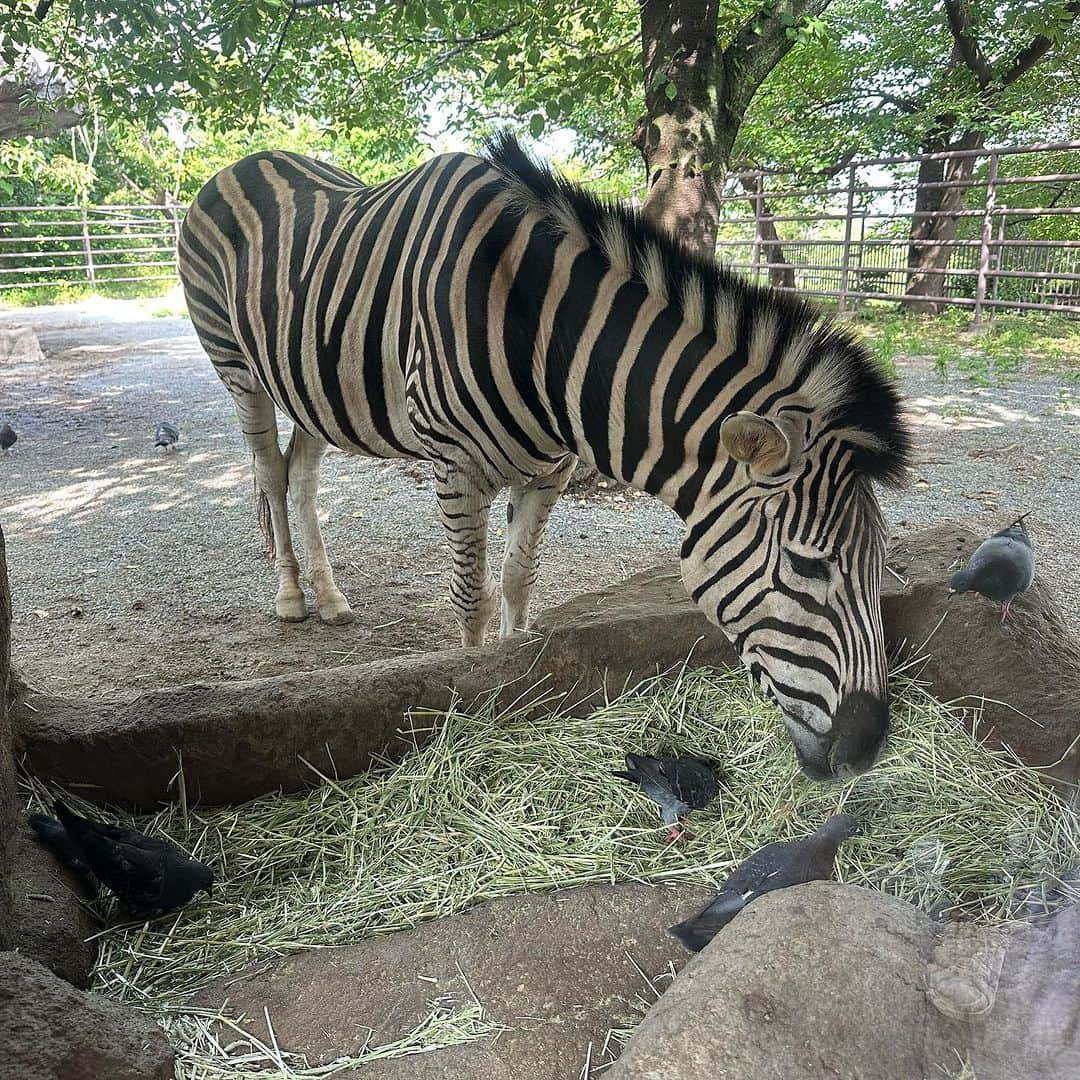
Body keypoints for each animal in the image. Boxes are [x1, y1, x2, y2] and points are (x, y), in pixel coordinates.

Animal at [179, 135, 911, 781]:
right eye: (808, 565)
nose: (868, 749)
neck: (542, 336)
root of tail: (249, 160)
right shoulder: (456, 467)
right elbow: (471, 598)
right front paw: (468, 690)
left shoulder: (550, 471)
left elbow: (517, 582)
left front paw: (512, 674)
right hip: (238, 368)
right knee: (270, 474)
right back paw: (290, 595)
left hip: (312, 388)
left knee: (301, 476)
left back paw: (330, 597)